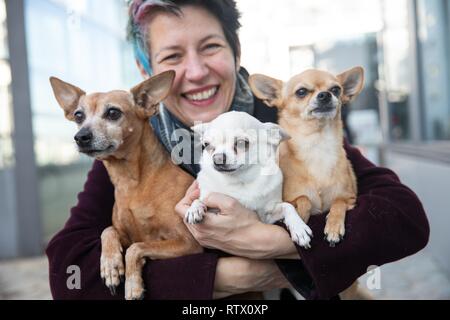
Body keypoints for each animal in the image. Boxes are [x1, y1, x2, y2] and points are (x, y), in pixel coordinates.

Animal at [49, 71, 202, 302]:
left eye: (113, 112)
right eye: (78, 116)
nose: (81, 137)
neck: (132, 182)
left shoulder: (188, 243)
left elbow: (135, 249)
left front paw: (132, 285)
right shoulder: (126, 234)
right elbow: (108, 231)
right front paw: (110, 265)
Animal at [183, 111, 312, 249]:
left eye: (241, 143)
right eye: (206, 145)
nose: (217, 158)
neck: (240, 180)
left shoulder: (267, 217)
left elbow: (288, 206)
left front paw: (299, 228)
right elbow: (199, 200)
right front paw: (194, 209)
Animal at [248, 67, 364, 248]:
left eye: (336, 90)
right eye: (301, 92)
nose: (325, 95)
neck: (317, 144)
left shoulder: (350, 199)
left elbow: (338, 203)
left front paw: (333, 227)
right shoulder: (289, 199)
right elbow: (304, 199)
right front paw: (300, 219)